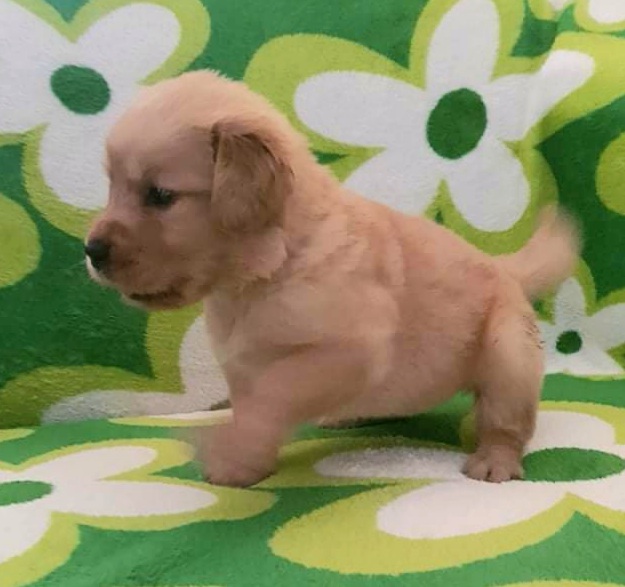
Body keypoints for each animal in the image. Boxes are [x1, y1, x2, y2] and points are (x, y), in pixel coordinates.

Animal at [84, 71, 580, 490]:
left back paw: (495, 459)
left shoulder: (352, 349)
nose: (91, 251)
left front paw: (229, 453)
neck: (266, 272)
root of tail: (502, 265)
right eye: (112, 188)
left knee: (505, 421)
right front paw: (250, 461)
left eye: (160, 195)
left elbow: (273, 395)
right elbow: (252, 407)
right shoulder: (241, 366)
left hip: (508, 354)